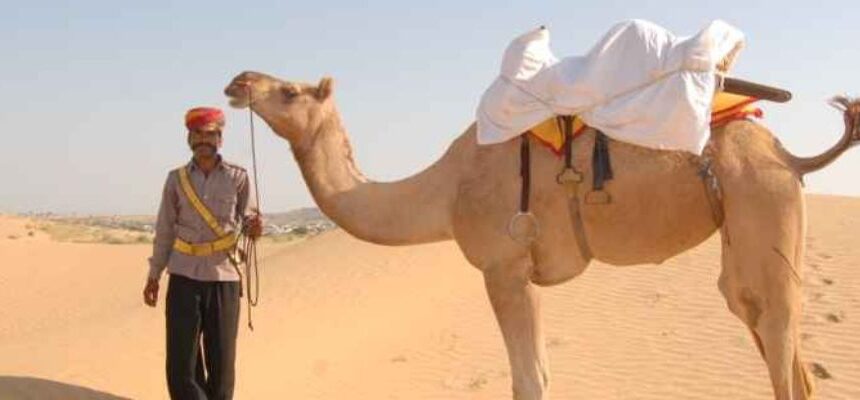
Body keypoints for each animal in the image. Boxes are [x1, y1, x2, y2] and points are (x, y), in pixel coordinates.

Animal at [224, 71, 860, 400]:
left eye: (290, 92)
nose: (239, 80)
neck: (445, 189)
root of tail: (789, 155)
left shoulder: (505, 266)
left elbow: (529, 379)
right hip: (748, 229)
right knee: (766, 328)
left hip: (763, 197)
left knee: (778, 331)